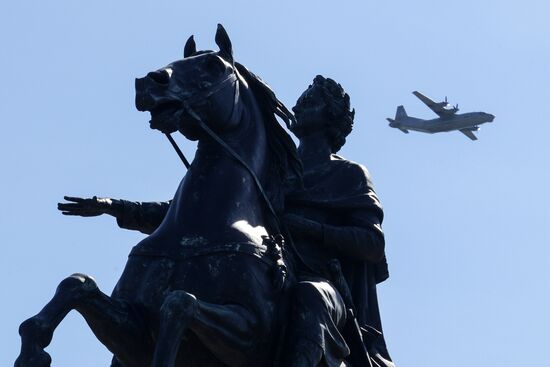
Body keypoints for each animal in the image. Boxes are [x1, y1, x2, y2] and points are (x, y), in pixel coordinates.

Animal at [15, 25, 302, 367]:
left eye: (214, 66)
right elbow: (77, 284)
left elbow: (180, 302)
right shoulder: (133, 330)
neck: (198, 229)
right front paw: (32, 351)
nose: (148, 81)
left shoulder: (253, 336)